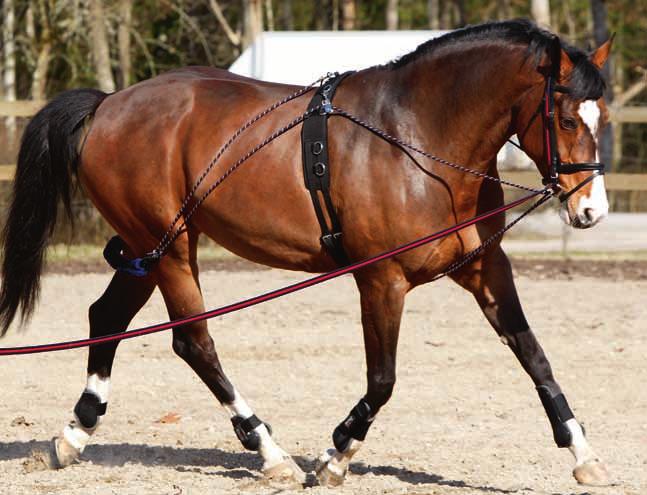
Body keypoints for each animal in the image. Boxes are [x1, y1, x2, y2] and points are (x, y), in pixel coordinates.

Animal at [0, 20, 612, 488]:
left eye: (601, 117)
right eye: (564, 119)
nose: (591, 211)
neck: (418, 138)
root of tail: (109, 104)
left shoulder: (486, 269)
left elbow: (534, 356)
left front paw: (584, 455)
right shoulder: (382, 280)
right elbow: (383, 380)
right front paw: (335, 455)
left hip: (147, 250)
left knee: (107, 317)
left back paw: (74, 435)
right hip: (168, 250)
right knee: (194, 343)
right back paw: (270, 453)